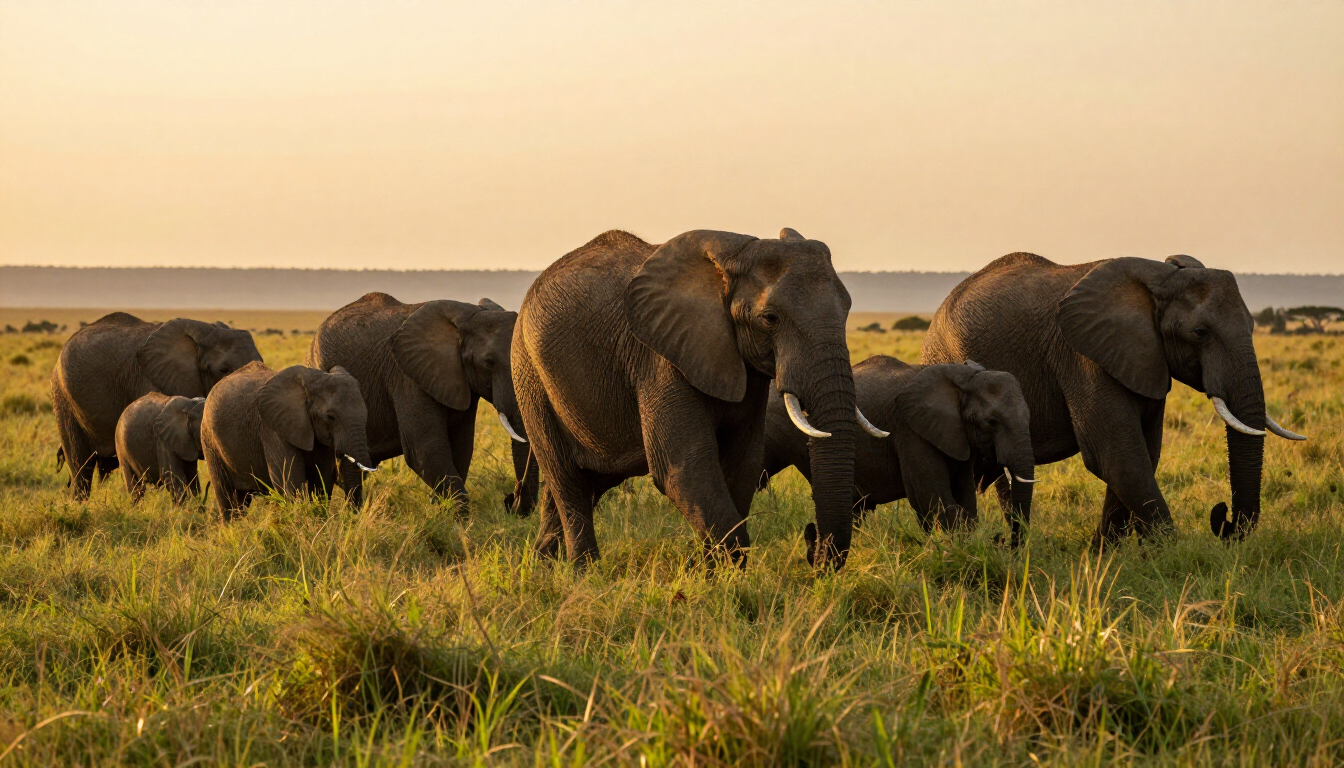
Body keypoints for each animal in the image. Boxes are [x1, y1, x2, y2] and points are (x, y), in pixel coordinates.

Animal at [201, 362, 372, 519]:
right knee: (226, 495)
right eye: (330, 417)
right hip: (209, 441)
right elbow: (290, 481)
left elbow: (322, 480)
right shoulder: (272, 430)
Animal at [306, 293, 537, 513]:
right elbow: (424, 451)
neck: (469, 315)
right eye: (488, 363)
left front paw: (442, 513)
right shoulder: (407, 376)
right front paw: (458, 522)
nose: (511, 500)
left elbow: (461, 449)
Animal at [514, 228, 883, 569]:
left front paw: (708, 575)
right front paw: (721, 579)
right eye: (770, 318)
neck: (737, 253)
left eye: (848, 310)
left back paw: (543, 568)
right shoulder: (661, 358)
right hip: (530, 375)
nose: (813, 549)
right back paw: (585, 574)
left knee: (586, 481)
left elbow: (742, 464)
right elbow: (684, 469)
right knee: (568, 481)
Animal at [762, 356, 1036, 543]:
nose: (1007, 542)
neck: (962, 376)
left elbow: (965, 497)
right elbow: (934, 496)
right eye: (992, 422)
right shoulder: (908, 428)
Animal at [922, 253, 1306, 544]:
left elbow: (1143, 452)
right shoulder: (1084, 356)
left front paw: (1106, 555)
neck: (1160, 278)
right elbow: (1116, 455)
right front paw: (1172, 553)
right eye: (1200, 332)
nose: (1221, 516)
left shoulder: (1146, 359)